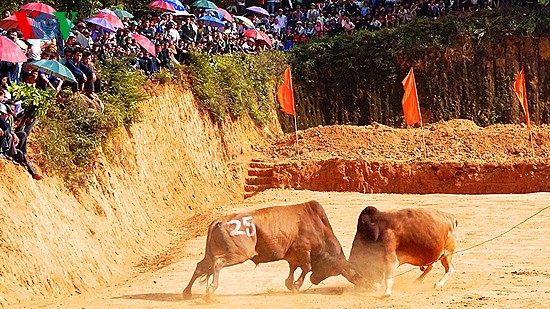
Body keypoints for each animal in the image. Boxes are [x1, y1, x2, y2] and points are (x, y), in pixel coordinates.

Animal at [183, 200, 360, 298]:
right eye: (334, 270)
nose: (315, 280)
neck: (318, 227)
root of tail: (220, 221)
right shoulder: (303, 251)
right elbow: (306, 267)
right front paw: (296, 285)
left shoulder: (293, 256)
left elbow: (293, 268)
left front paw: (290, 284)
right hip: (239, 254)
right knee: (218, 264)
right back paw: (211, 289)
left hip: (211, 255)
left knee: (200, 267)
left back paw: (187, 293)